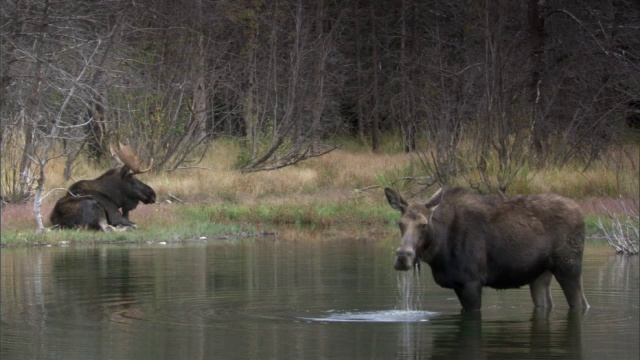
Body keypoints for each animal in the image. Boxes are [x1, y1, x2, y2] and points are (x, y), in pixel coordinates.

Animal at [382, 187, 588, 310]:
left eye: (423, 224)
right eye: (400, 223)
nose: (403, 256)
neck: (439, 252)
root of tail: (581, 212)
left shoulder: (472, 281)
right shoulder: (457, 283)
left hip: (569, 266)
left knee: (580, 302)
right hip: (539, 274)